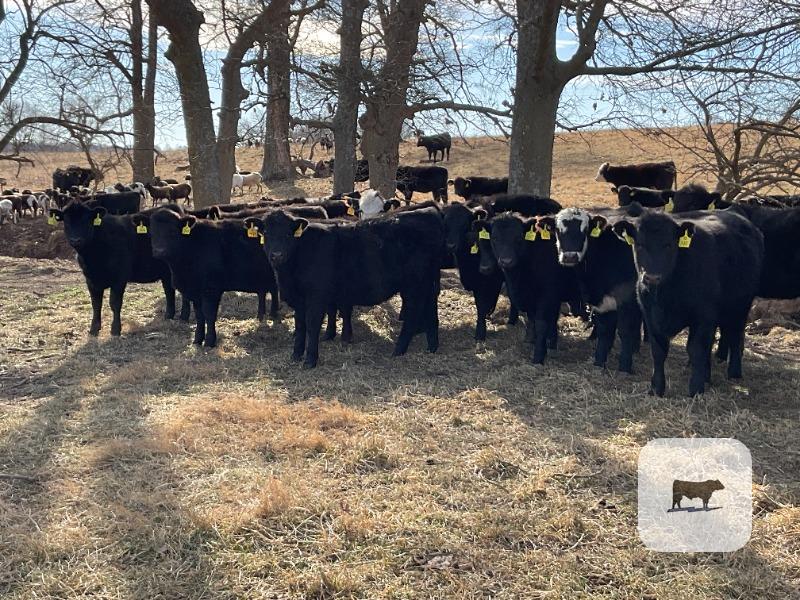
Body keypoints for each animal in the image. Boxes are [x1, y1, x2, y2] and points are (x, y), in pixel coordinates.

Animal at [49, 202, 190, 336]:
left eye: (86, 220)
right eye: (66, 222)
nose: (75, 240)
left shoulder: (119, 278)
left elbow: (115, 303)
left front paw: (115, 329)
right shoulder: (90, 280)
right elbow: (96, 304)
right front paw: (94, 329)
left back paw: (184, 316)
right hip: (166, 272)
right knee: (169, 291)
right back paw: (168, 316)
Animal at [149, 208, 280, 348]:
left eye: (172, 231)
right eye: (152, 232)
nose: (159, 251)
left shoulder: (211, 289)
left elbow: (209, 314)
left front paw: (209, 341)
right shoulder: (195, 291)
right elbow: (199, 315)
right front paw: (197, 340)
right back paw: (267, 315)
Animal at [259, 207, 444, 368]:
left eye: (287, 233)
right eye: (266, 233)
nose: (276, 255)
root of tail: (428, 212)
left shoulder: (316, 297)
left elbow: (312, 325)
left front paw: (310, 360)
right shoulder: (299, 299)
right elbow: (300, 326)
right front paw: (296, 355)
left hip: (414, 286)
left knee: (413, 315)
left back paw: (398, 350)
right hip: (427, 284)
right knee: (430, 311)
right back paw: (431, 347)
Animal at [612, 210, 764, 396]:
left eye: (669, 245)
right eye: (639, 244)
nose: (652, 277)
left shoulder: (703, 316)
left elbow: (696, 349)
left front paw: (696, 389)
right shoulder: (650, 314)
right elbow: (658, 350)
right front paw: (656, 387)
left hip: (741, 306)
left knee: (735, 336)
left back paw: (734, 373)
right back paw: (707, 376)